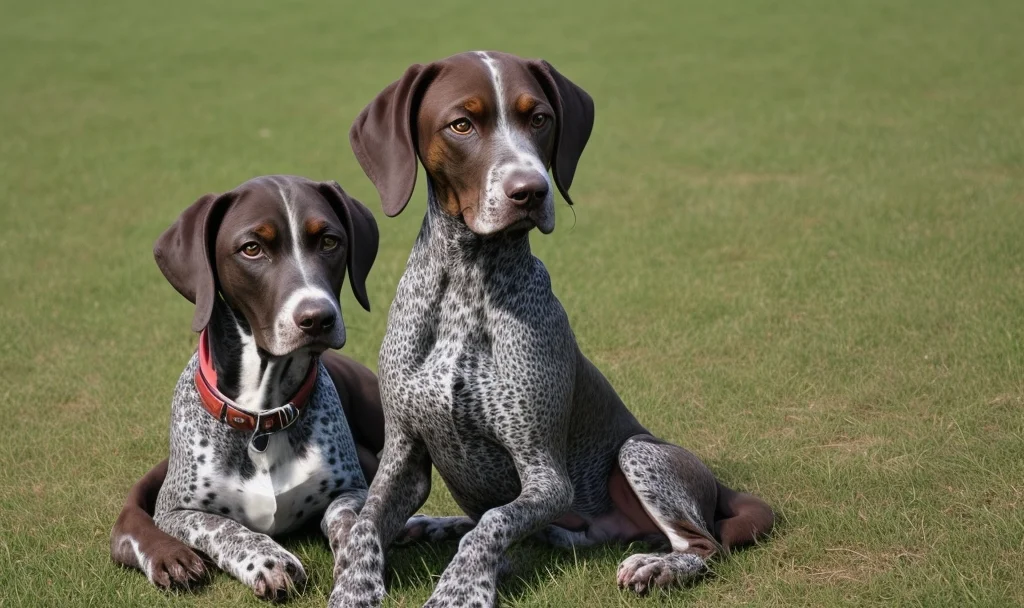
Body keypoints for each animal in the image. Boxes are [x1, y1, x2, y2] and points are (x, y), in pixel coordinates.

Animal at [111, 172, 385, 597]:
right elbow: (221, 526)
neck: (263, 418)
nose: (318, 318)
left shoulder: (353, 488)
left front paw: (358, 564)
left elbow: (346, 517)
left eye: (329, 241)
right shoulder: (175, 510)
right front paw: (268, 560)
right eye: (252, 248)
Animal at [335, 52, 774, 605]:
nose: (531, 191)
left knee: (703, 545)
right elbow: (366, 524)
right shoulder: (403, 458)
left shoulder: (545, 475)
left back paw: (657, 567)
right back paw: (438, 525)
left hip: (639, 453)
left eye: (539, 118)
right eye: (461, 124)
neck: (466, 282)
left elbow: (493, 524)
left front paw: (461, 589)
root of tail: (721, 487)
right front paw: (354, 586)